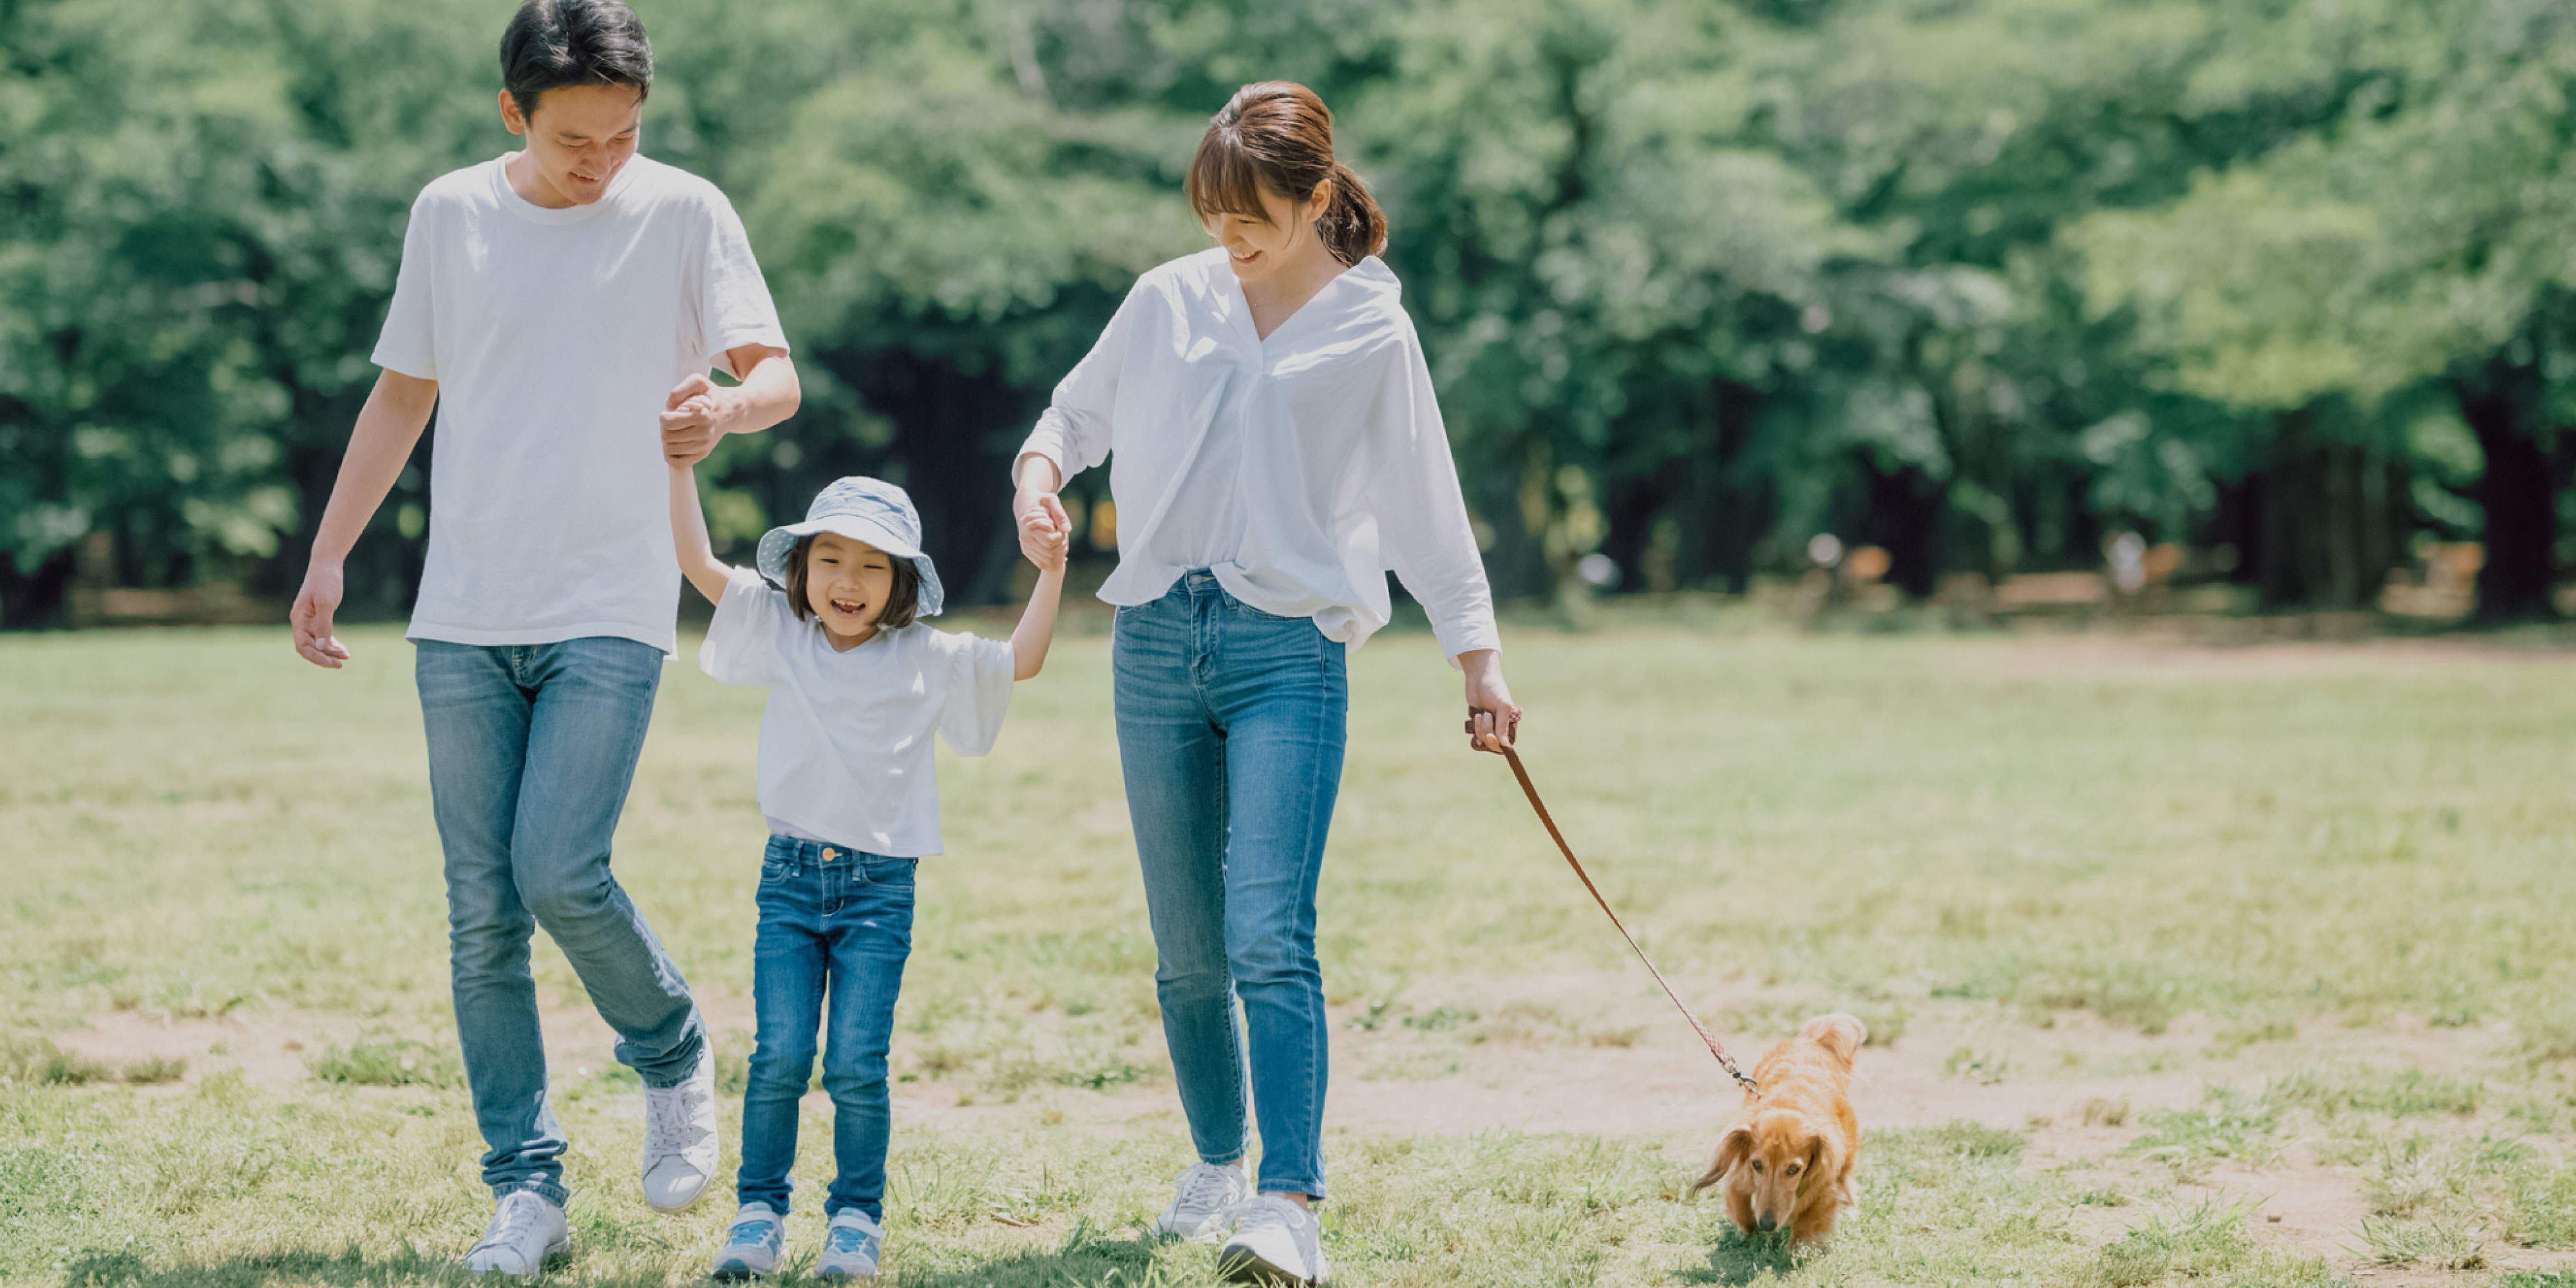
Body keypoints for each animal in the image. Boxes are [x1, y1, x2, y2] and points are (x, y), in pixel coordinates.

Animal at [1680, 1010, 1865, 1242]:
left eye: (1794, 1170)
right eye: (1757, 1165)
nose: (1767, 1225)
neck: (1788, 1103)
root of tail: (1811, 1042)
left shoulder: (1824, 1181)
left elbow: (1807, 1225)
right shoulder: (1740, 1175)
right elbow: (1743, 1211)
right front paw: (1749, 1237)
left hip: (1847, 1152)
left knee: (1846, 1179)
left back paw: (1851, 1210)